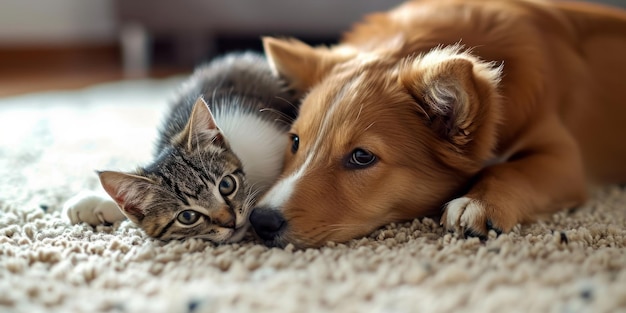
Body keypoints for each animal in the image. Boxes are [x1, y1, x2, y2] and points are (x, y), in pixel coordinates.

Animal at [246, 0, 624, 249]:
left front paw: (479, 204)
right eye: (295, 141)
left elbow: (512, 169)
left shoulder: (563, 157)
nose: (260, 221)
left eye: (362, 157)